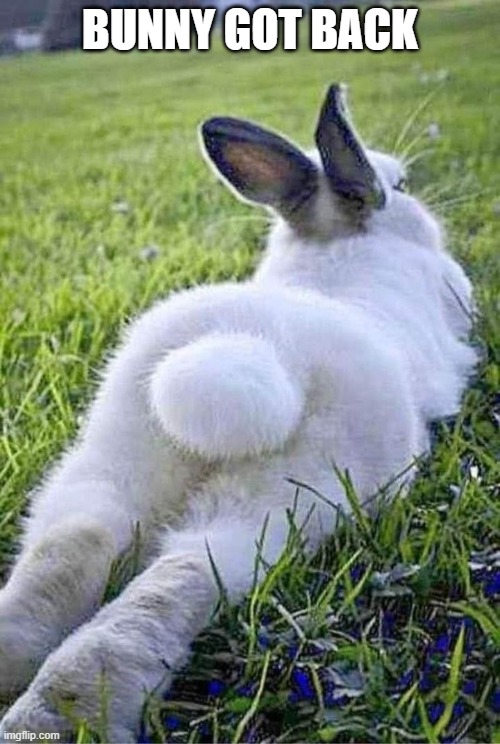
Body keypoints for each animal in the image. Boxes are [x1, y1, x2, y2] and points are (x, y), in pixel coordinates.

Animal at [0, 83, 477, 742]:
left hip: (111, 458)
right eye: (400, 185)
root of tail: (250, 343)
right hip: (291, 497)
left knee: (74, 545)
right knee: (176, 581)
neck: (336, 245)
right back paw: (62, 714)